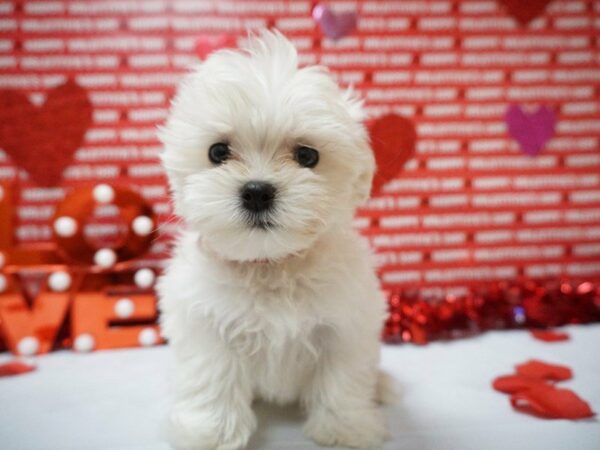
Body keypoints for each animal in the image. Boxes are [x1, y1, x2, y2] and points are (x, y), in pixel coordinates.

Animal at [157, 29, 386, 448]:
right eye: (218, 151)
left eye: (307, 156)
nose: (257, 191)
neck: (271, 264)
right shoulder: (206, 326)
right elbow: (213, 378)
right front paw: (210, 433)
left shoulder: (346, 327)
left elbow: (342, 380)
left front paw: (345, 429)